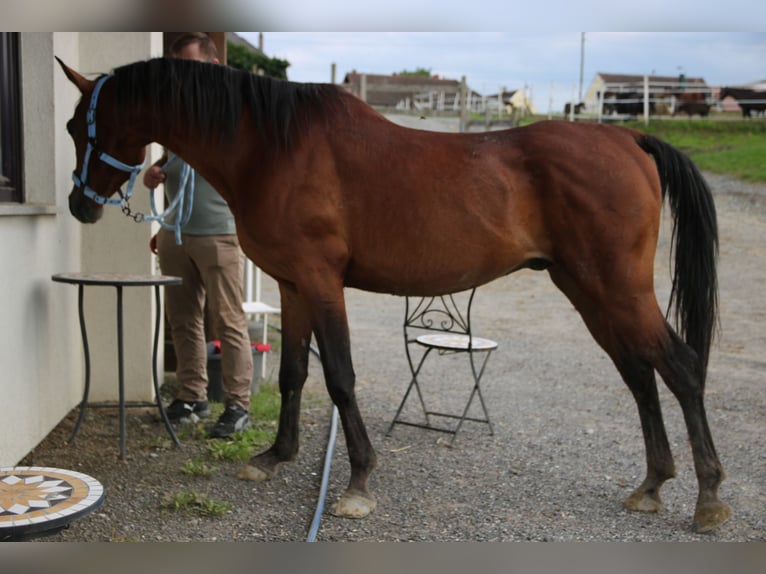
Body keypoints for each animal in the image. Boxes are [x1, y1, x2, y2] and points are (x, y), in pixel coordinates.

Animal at [55, 57, 732, 536]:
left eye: (75, 125)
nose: (80, 206)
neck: (273, 148)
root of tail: (631, 140)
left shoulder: (322, 282)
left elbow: (341, 377)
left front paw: (357, 482)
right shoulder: (293, 286)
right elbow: (296, 373)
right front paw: (275, 456)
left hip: (616, 288)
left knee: (681, 367)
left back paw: (707, 497)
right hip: (588, 290)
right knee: (639, 375)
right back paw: (652, 485)